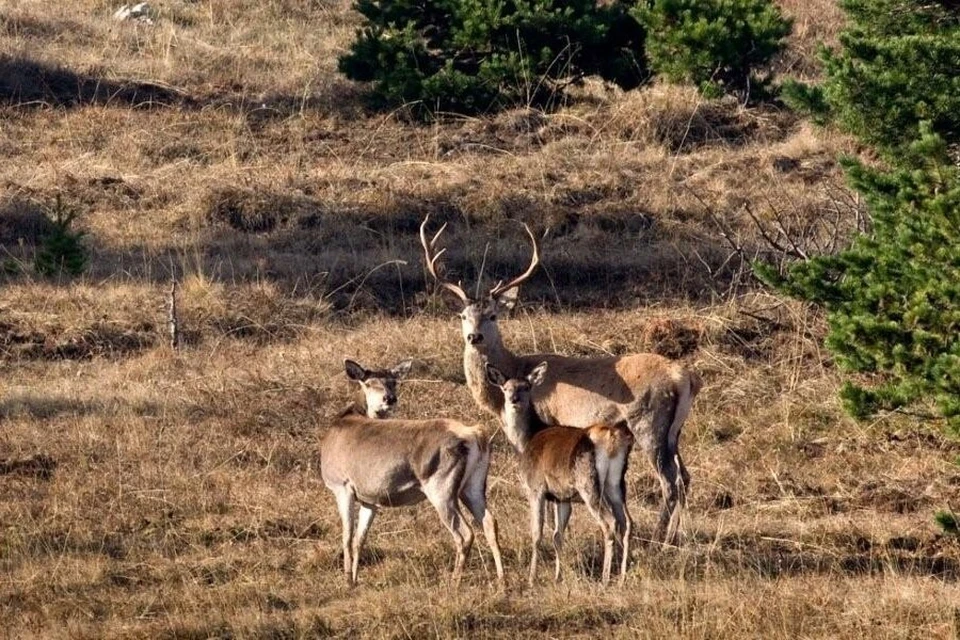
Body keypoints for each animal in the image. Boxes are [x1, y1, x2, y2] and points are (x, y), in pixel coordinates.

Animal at [320, 358, 506, 588]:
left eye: (393, 382)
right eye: (369, 383)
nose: (389, 398)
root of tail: (474, 435)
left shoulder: (341, 484)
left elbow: (346, 537)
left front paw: (347, 581)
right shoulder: (370, 498)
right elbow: (359, 539)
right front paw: (354, 579)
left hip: (440, 486)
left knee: (464, 533)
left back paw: (454, 582)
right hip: (474, 484)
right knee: (490, 522)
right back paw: (502, 580)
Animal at [418, 216, 696, 544]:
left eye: (493, 315)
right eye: (463, 316)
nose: (475, 337)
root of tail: (685, 378)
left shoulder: (546, 424)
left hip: (649, 422)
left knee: (669, 481)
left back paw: (659, 536)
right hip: (673, 432)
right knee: (684, 476)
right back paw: (675, 534)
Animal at [488, 360, 632, 584]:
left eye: (526, 387)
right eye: (505, 388)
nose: (513, 400)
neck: (526, 441)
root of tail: (612, 438)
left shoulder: (535, 488)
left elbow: (537, 533)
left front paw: (532, 578)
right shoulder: (561, 496)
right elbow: (557, 535)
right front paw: (558, 576)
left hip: (588, 483)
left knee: (610, 523)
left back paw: (605, 578)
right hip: (616, 484)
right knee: (627, 522)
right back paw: (623, 576)